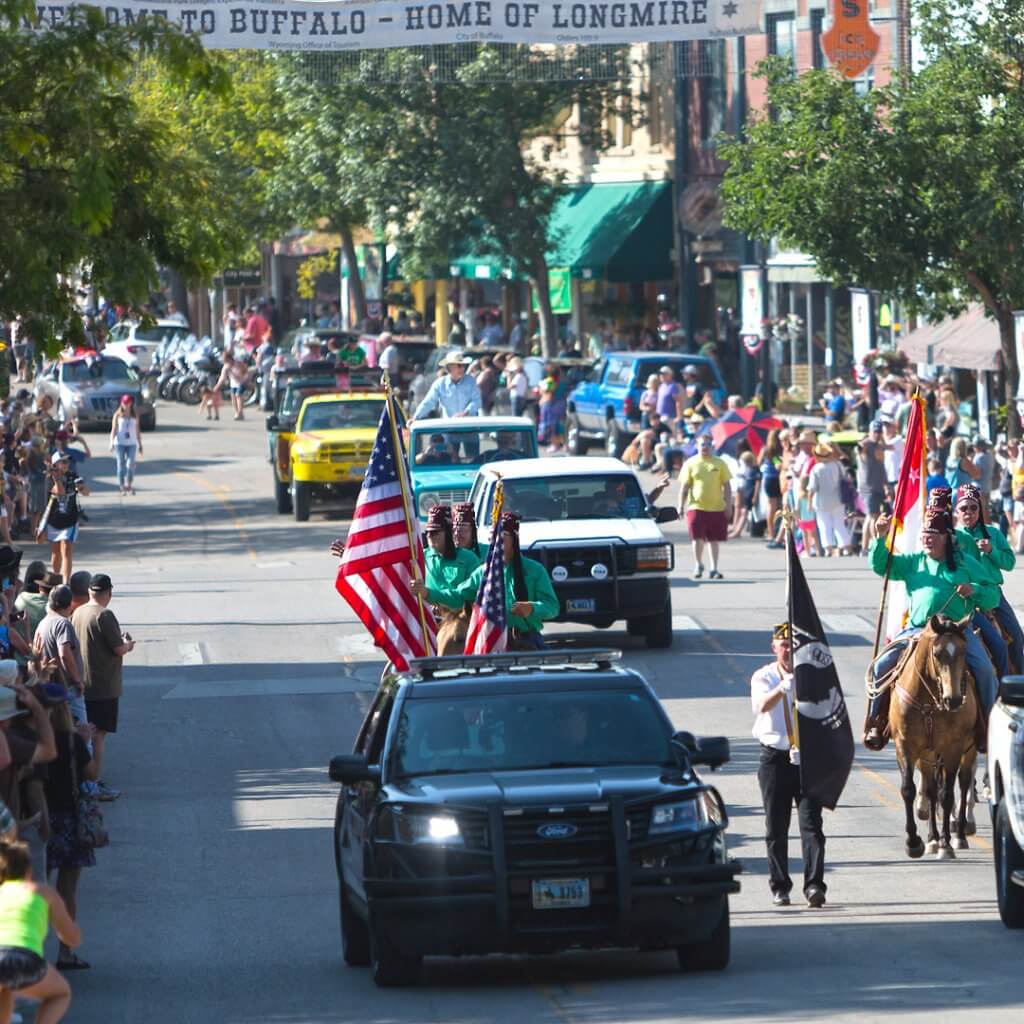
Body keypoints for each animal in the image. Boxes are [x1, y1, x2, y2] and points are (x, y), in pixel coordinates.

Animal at [892, 614, 978, 856]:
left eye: (964, 652)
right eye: (937, 654)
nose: (954, 700)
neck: (928, 703)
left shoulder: (953, 748)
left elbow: (947, 795)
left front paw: (946, 844)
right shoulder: (905, 746)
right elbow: (908, 790)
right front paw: (914, 842)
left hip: (968, 749)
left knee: (964, 782)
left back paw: (959, 834)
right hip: (928, 755)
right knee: (931, 789)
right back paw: (932, 838)